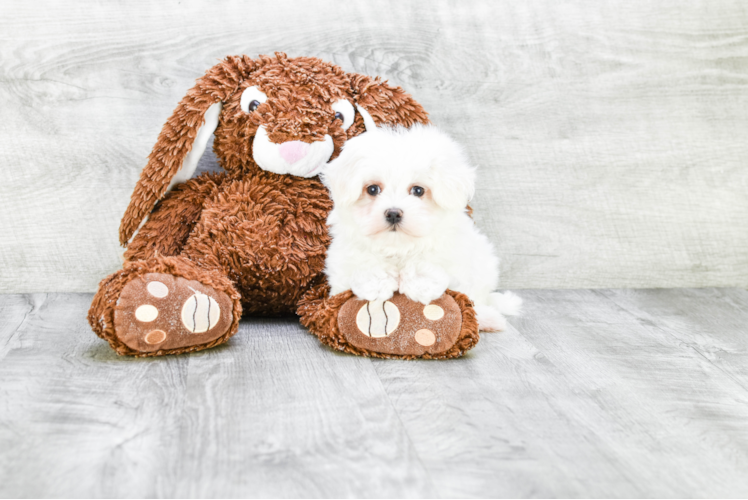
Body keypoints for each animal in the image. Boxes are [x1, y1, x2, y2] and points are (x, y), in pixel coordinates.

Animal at [322, 108, 520, 332]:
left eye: (418, 190)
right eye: (372, 189)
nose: (393, 213)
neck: (398, 248)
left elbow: (428, 259)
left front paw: (420, 284)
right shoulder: (344, 258)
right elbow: (365, 261)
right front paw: (376, 284)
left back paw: (489, 319)